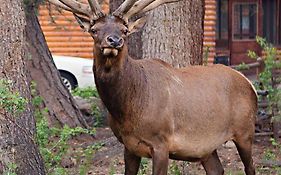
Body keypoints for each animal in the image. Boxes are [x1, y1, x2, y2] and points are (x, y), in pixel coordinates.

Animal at [48, 0, 256, 174]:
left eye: (124, 30)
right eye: (94, 29)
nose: (114, 40)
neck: (127, 113)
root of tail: (250, 84)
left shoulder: (162, 142)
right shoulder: (129, 146)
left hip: (245, 131)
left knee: (250, 167)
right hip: (207, 147)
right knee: (217, 170)